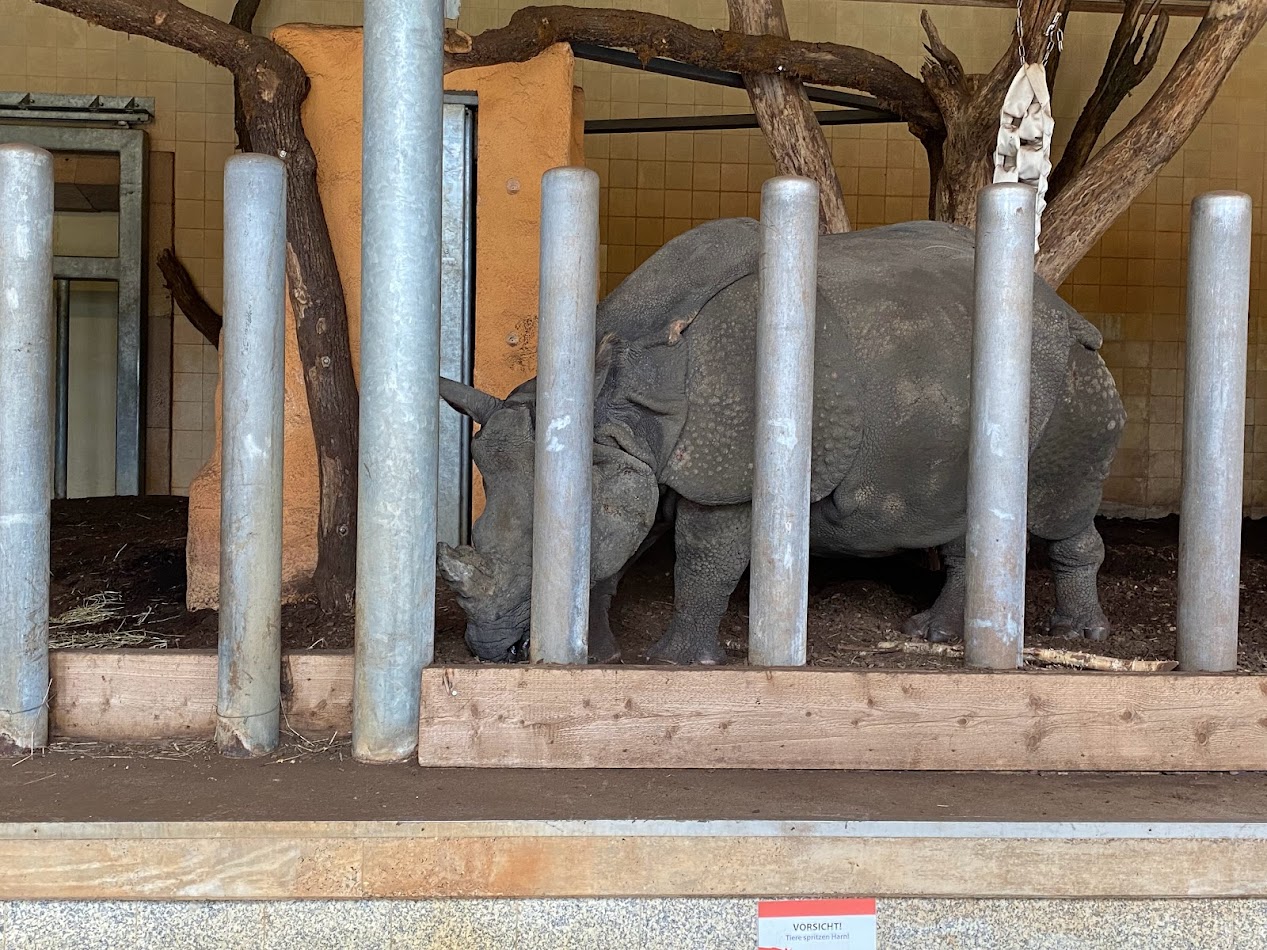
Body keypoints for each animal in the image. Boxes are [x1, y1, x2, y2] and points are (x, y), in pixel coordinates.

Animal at [436, 217, 1125, 665]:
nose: (490, 651)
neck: (621, 400)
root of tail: (1058, 302)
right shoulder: (637, 457)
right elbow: (612, 557)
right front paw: (597, 656)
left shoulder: (724, 474)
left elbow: (702, 558)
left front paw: (674, 663)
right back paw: (935, 636)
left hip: (1073, 371)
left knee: (1059, 503)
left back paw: (1078, 638)